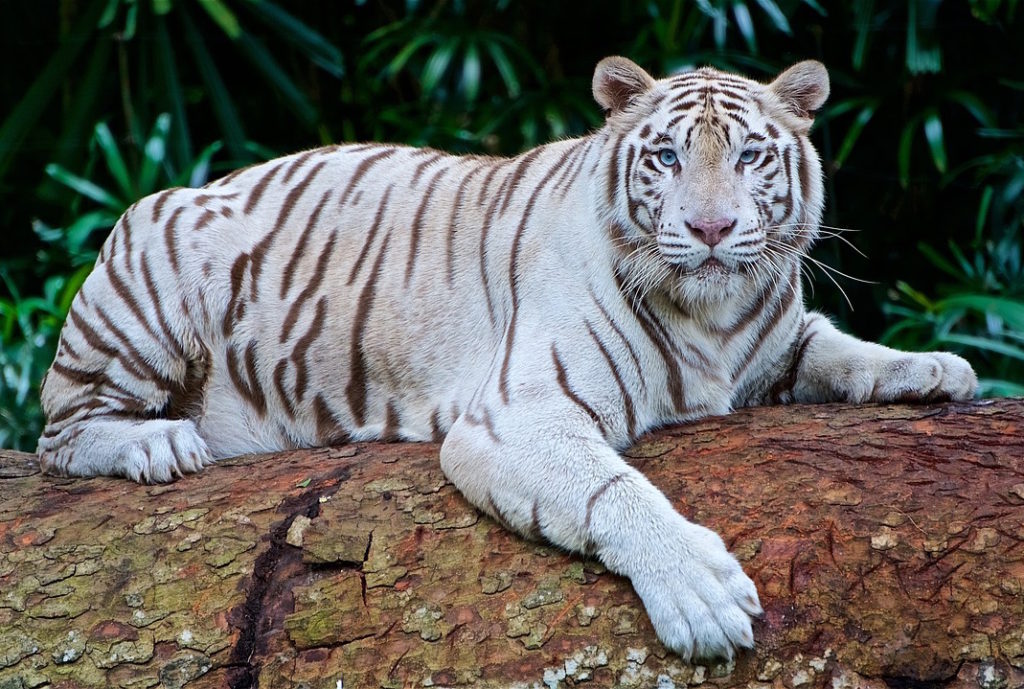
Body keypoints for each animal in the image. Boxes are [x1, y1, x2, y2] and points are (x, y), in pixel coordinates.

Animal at [37, 56, 974, 659]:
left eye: (748, 154)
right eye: (667, 155)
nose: (710, 229)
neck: (715, 315)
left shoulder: (777, 341)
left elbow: (840, 347)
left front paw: (937, 367)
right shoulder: (520, 414)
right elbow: (614, 490)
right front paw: (702, 594)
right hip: (151, 270)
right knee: (59, 433)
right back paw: (158, 443)